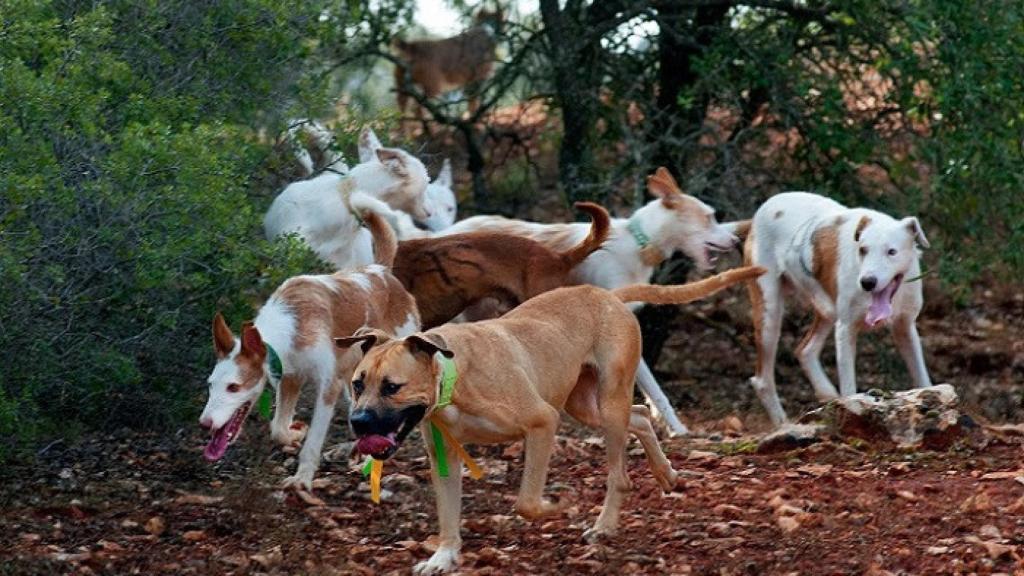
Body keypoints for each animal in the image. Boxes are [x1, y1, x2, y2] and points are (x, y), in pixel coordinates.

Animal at [201, 208, 417, 485]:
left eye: (233, 387)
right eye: (210, 385)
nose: (204, 423)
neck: (292, 325)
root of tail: (380, 270)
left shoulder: (327, 386)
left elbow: (313, 441)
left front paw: (302, 479)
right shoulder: (290, 379)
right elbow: (278, 429)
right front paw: (296, 433)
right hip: (355, 380)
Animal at [333, 262, 761, 569]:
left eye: (392, 387)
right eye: (357, 384)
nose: (358, 423)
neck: (452, 375)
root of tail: (608, 296)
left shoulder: (542, 423)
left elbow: (526, 501)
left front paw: (560, 505)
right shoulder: (445, 456)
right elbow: (448, 514)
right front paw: (444, 556)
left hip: (607, 403)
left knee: (619, 474)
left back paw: (604, 525)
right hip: (586, 406)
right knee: (640, 415)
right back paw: (666, 473)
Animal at [741, 190, 933, 424]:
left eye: (891, 252)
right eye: (863, 250)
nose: (867, 282)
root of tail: (765, 206)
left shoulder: (905, 328)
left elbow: (923, 379)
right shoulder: (845, 329)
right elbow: (850, 389)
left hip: (826, 311)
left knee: (804, 350)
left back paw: (826, 394)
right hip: (770, 317)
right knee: (762, 379)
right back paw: (783, 422)